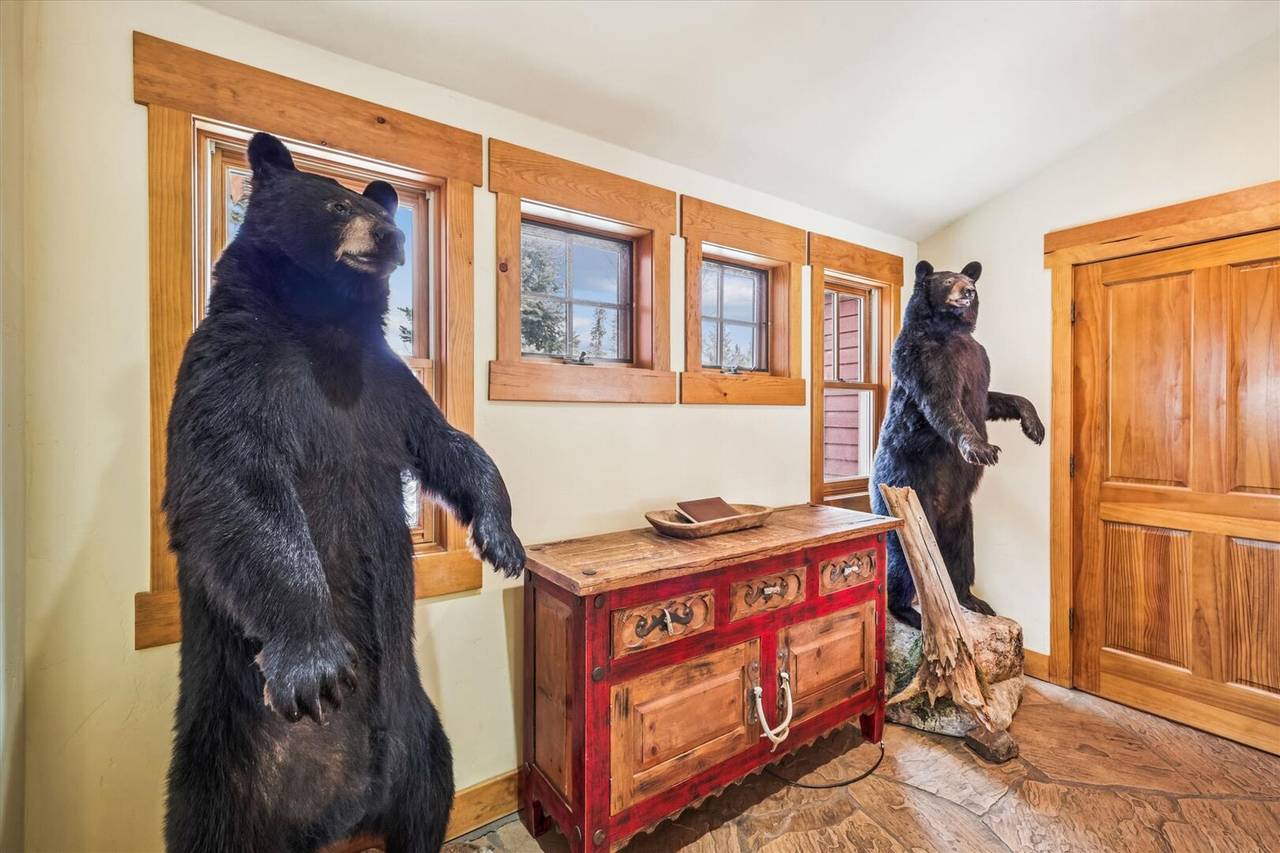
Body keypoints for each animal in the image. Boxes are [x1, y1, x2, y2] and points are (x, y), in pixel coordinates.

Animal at [163, 132, 526, 853]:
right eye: (335, 204)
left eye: (373, 204)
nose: (390, 233)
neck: (323, 326)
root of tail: (345, 809)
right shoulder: (233, 368)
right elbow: (238, 483)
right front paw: (315, 661)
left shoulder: (387, 388)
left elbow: (449, 443)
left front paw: (502, 539)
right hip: (223, 771)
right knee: (206, 826)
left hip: (423, 739)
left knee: (429, 803)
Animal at [870, 260, 1043, 630]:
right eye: (949, 280)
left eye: (968, 278)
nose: (969, 291)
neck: (951, 332)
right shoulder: (922, 356)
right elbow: (943, 403)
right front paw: (980, 448)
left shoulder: (978, 359)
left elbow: (992, 399)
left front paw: (1034, 424)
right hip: (906, 489)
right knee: (903, 560)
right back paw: (908, 610)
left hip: (961, 514)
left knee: (961, 552)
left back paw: (972, 599)